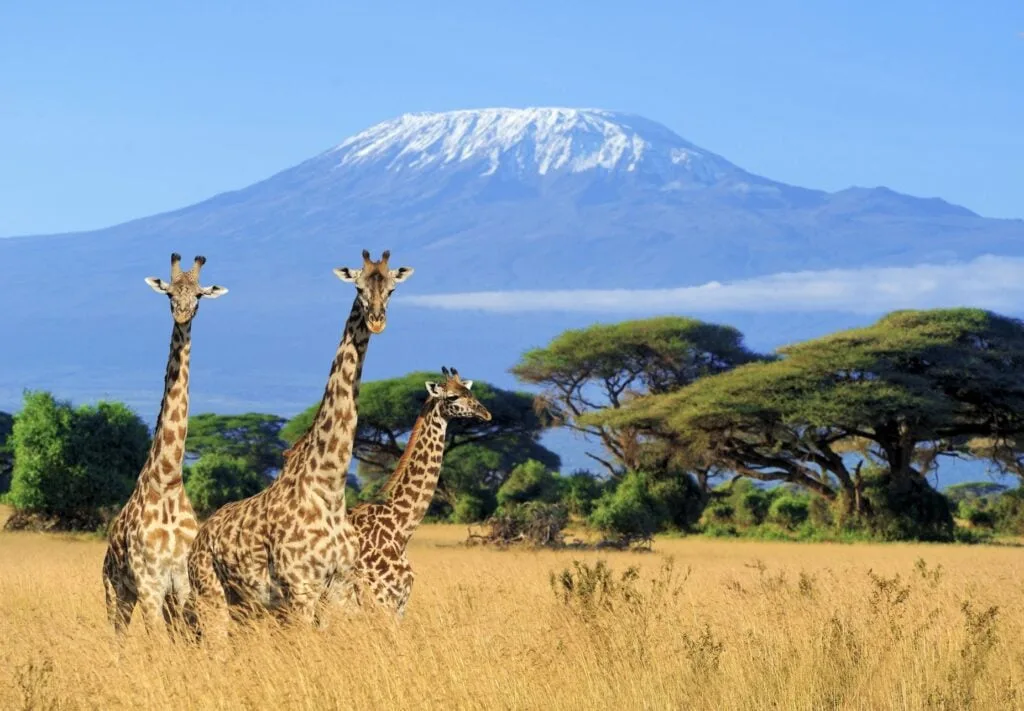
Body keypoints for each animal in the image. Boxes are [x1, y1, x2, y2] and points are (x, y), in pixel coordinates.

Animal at [102, 253, 228, 637]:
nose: (183, 314)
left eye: (199, 295)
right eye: (170, 293)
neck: (169, 480)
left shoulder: (182, 584)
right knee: (117, 636)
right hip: (115, 591)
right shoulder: (149, 584)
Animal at [186, 249, 413, 636]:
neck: (329, 487)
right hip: (211, 593)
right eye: (358, 287)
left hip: (245, 604)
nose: (377, 321)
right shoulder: (301, 588)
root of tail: (199, 538)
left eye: (392, 289)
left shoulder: (339, 587)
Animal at [344, 367, 491, 618]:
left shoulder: (399, 604)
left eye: (469, 392)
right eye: (452, 396)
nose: (486, 414)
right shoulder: (383, 601)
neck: (400, 528)